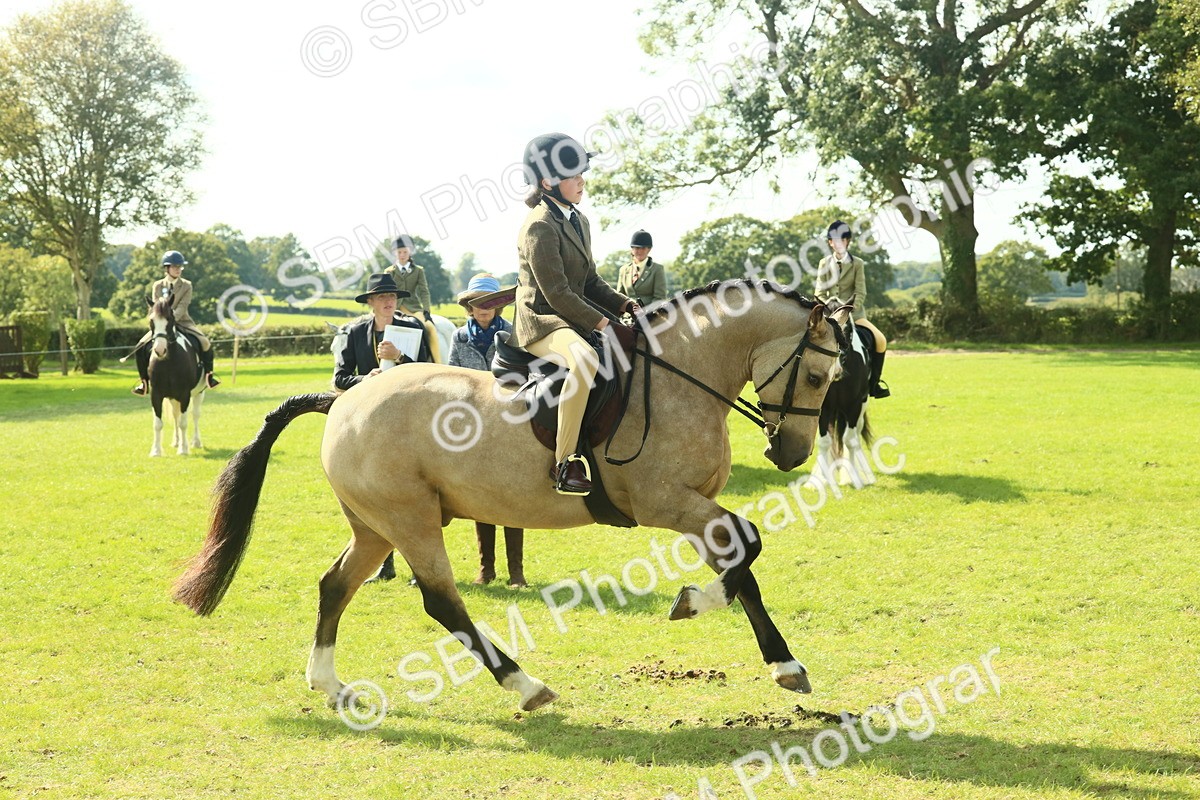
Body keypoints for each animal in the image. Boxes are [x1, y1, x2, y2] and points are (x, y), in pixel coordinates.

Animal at [146, 298, 206, 457]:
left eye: (170, 319)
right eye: (151, 320)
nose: (160, 350)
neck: (168, 362)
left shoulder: (185, 394)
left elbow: (183, 423)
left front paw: (183, 450)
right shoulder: (156, 394)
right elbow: (158, 423)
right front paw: (156, 451)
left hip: (199, 393)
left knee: (195, 415)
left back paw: (195, 442)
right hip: (173, 397)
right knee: (175, 415)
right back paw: (176, 441)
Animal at [174, 280, 851, 713]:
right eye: (820, 375)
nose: (790, 454)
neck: (679, 376)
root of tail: (344, 397)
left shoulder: (693, 509)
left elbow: (743, 565)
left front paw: (771, 656)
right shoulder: (666, 503)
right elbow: (748, 548)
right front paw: (701, 609)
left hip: (375, 527)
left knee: (335, 586)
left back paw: (329, 685)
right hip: (409, 520)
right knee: (442, 603)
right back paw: (526, 686)